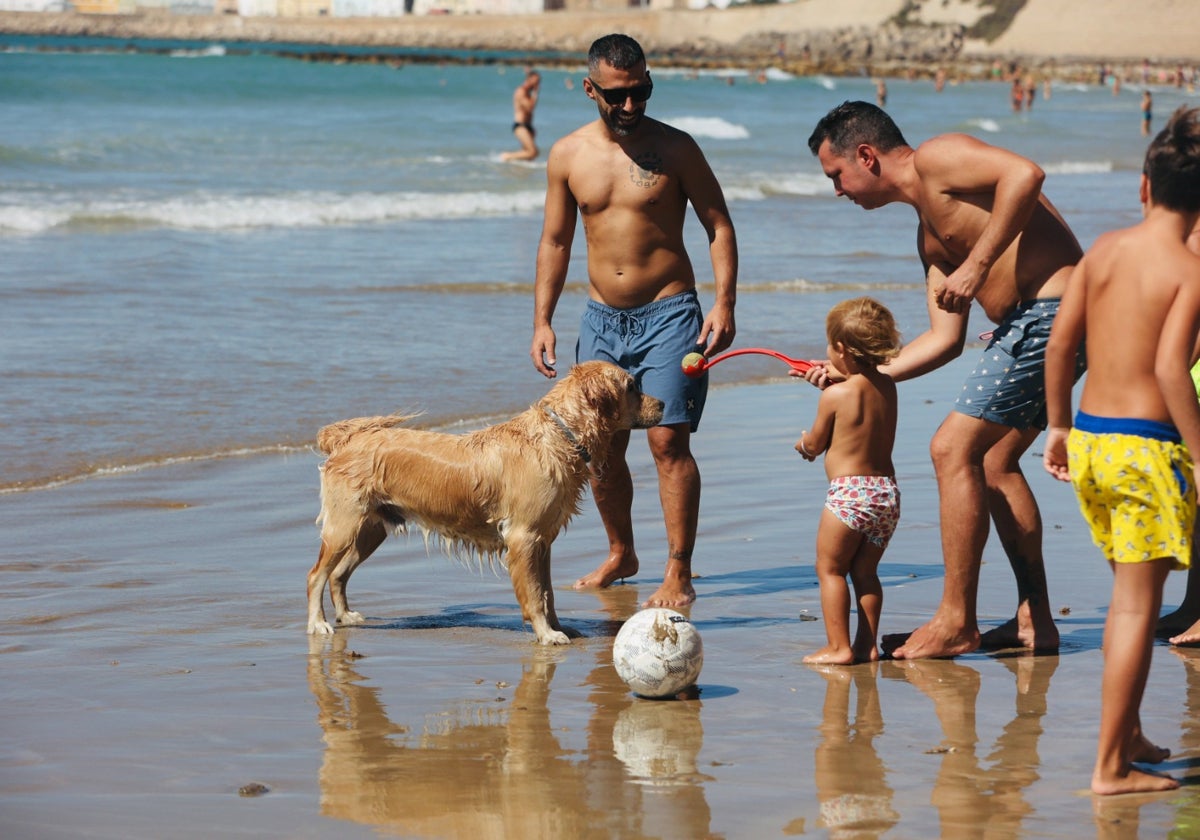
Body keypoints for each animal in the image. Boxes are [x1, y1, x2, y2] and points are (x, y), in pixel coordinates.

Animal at [307, 360, 667, 643]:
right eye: (632, 385)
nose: (663, 404)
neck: (559, 435)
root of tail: (345, 440)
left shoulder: (543, 540)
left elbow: (547, 592)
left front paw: (559, 626)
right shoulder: (523, 537)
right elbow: (534, 594)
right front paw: (547, 634)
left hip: (371, 528)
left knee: (338, 574)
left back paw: (345, 615)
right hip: (344, 525)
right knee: (316, 575)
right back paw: (318, 623)